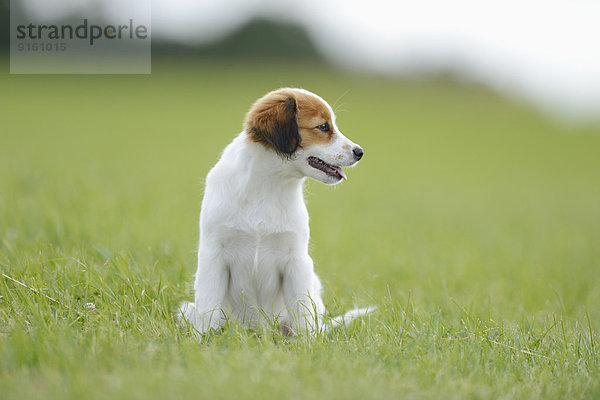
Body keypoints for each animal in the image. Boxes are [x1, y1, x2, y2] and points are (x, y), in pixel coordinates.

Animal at [180, 88, 372, 338]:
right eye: (323, 126)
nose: (360, 152)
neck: (268, 186)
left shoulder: (297, 260)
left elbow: (303, 313)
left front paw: (309, 344)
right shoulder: (213, 256)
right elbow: (207, 308)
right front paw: (203, 340)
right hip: (187, 310)